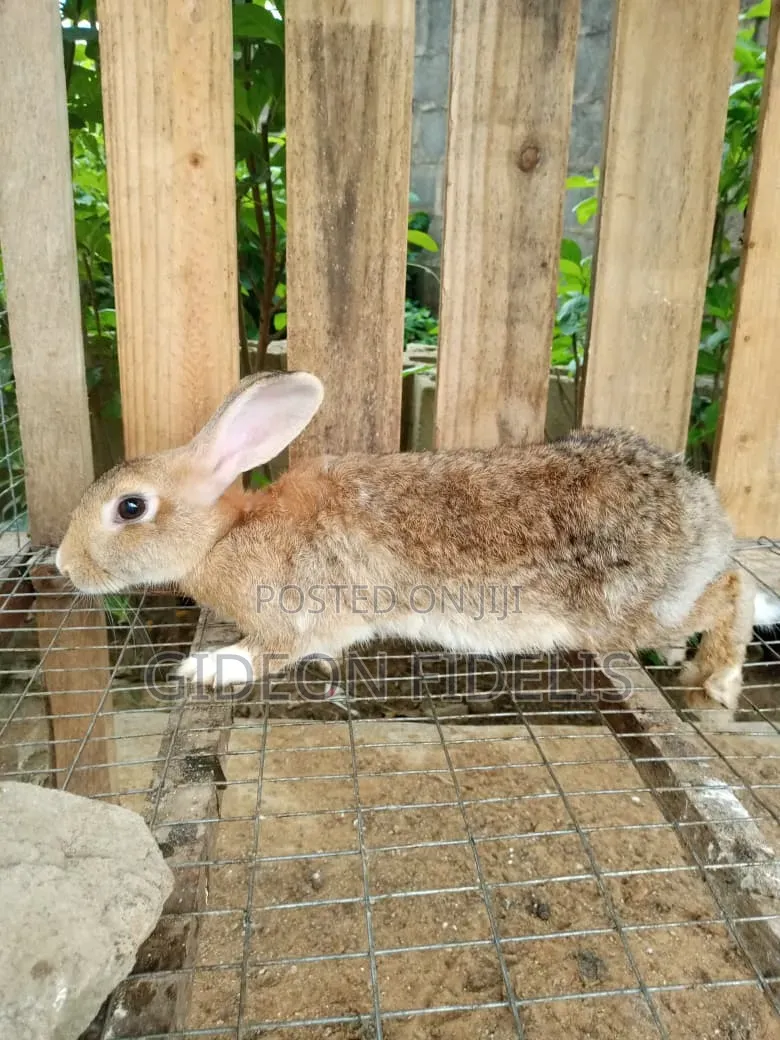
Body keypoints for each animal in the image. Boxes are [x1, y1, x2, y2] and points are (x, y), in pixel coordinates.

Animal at [55, 370, 780, 712]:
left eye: (130, 507)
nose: (63, 564)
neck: (226, 534)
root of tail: (708, 515)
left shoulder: (294, 620)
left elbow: (268, 654)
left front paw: (208, 666)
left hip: (626, 612)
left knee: (734, 591)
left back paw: (716, 680)